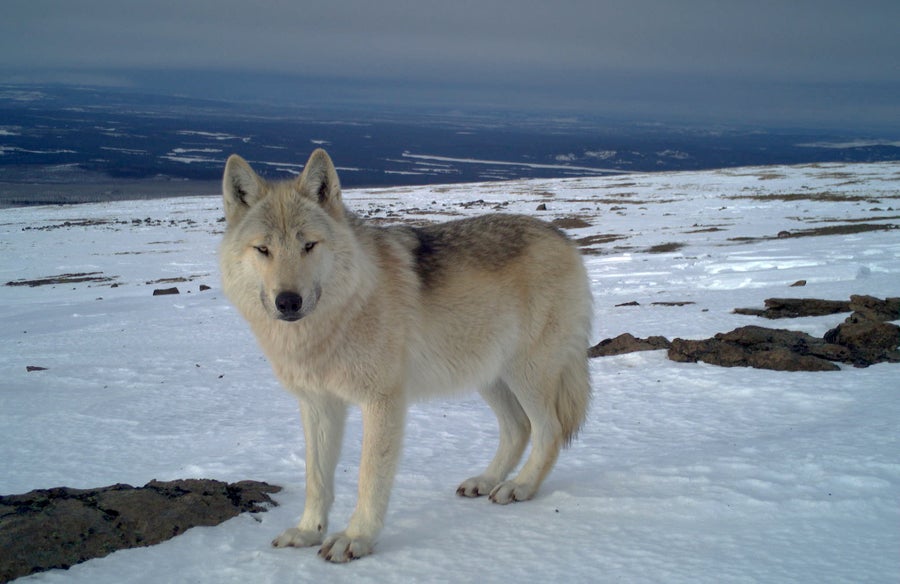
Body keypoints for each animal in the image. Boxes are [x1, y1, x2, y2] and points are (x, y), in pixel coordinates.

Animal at [221, 147, 596, 560]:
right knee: (518, 428)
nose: (288, 301)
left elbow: (369, 477)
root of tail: (564, 238)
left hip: (526, 374)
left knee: (549, 430)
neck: (342, 313)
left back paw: (520, 487)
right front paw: (308, 532)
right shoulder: (318, 404)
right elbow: (316, 478)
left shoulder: (382, 402)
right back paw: (485, 480)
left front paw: (356, 538)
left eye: (309, 245)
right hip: (488, 376)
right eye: (263, 249)